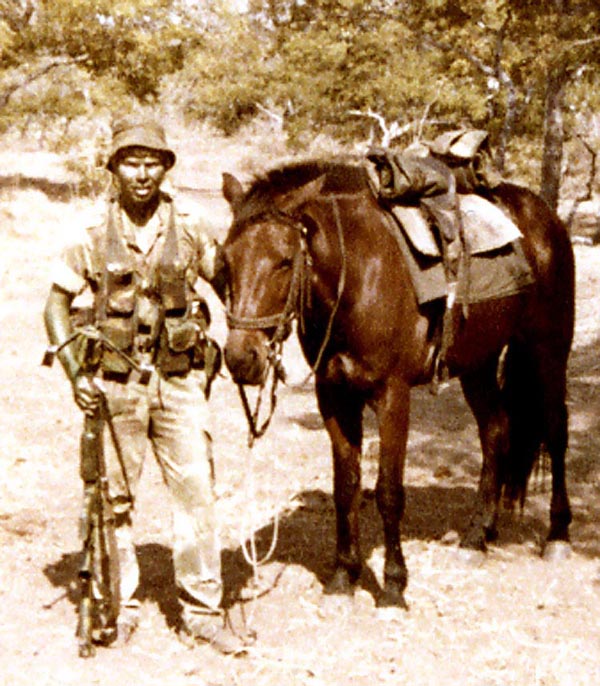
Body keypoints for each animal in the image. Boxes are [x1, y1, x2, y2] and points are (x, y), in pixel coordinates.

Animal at [219, 163, 572, 612]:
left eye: (284, 261)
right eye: (227, 261)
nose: (241, 358)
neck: (356, 275)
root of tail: (545, 217)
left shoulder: (393, 396)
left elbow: (388, 492)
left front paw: (392, 585)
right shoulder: (334, 396)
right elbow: (346, 487)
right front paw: (343, 575)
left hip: (548, 350)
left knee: (556, 430)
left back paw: (558, 535)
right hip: (478, 364)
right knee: (496, 430)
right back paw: (479, 535)